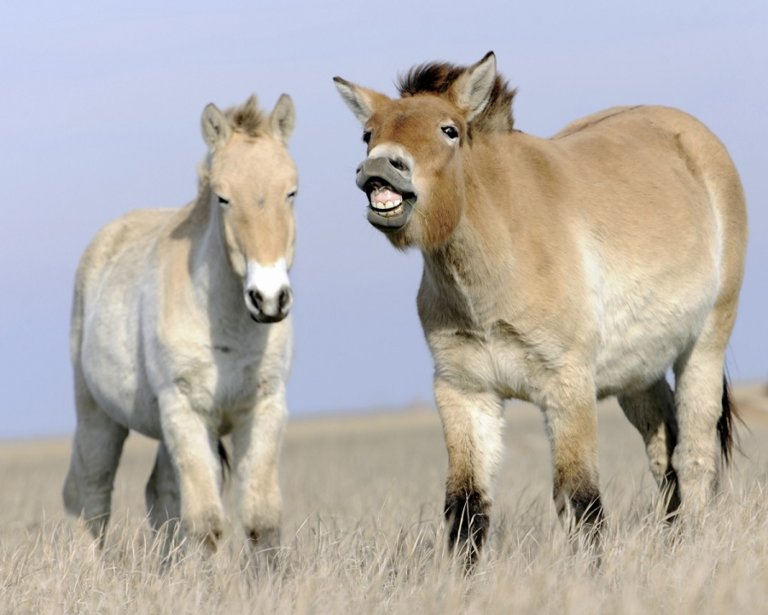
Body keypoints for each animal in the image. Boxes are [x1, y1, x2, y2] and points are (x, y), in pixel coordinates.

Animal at [63, 93, 298, 554]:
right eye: (223, 198)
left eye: (292, 192)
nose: (268, 298)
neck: (227, 326)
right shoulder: (185, 410)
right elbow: (206, 524)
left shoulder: (263, 407)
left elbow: (262, 520)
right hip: (98, 416)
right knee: (92, 497)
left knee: (160, 495)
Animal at [334, 52, 747, 565]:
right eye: (367, 133)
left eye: (449, 130)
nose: (380, 169)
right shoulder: (464, 392)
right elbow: (466, 504)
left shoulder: (567, 387)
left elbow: (579, 498)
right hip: (638, 373)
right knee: (664, 452)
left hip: (704, 346)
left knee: (694, 457)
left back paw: (694, 544)